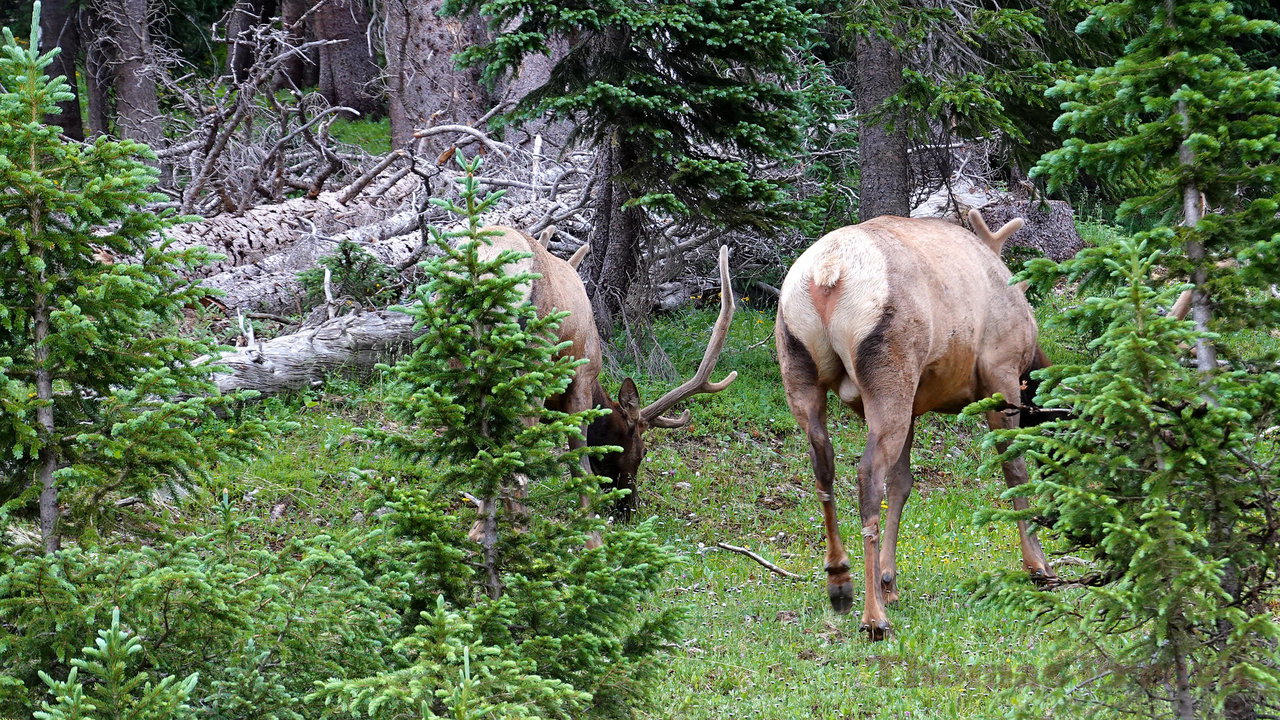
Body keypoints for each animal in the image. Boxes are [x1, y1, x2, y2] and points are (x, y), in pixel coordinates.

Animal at [768, 210, 1059, 635]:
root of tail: (828, 273)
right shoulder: (999, 371)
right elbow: (1014, 469)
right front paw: (1038, 565)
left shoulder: (916, 404)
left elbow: (902, 484)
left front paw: (888, 579)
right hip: (890, 373)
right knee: (867, 476)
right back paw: (873, 617)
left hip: (800, 368)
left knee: (823, 464)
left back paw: (840, 580)